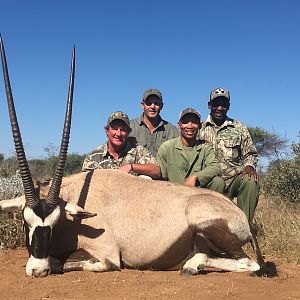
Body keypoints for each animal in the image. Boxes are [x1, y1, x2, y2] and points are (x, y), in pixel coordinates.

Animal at [0, 36, 274, 278]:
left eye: (54, 224)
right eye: (25, 222)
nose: (37, 270)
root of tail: (241, 217)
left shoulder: (107, 255)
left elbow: (68, 262)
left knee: (249, 263)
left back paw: (191, 265)